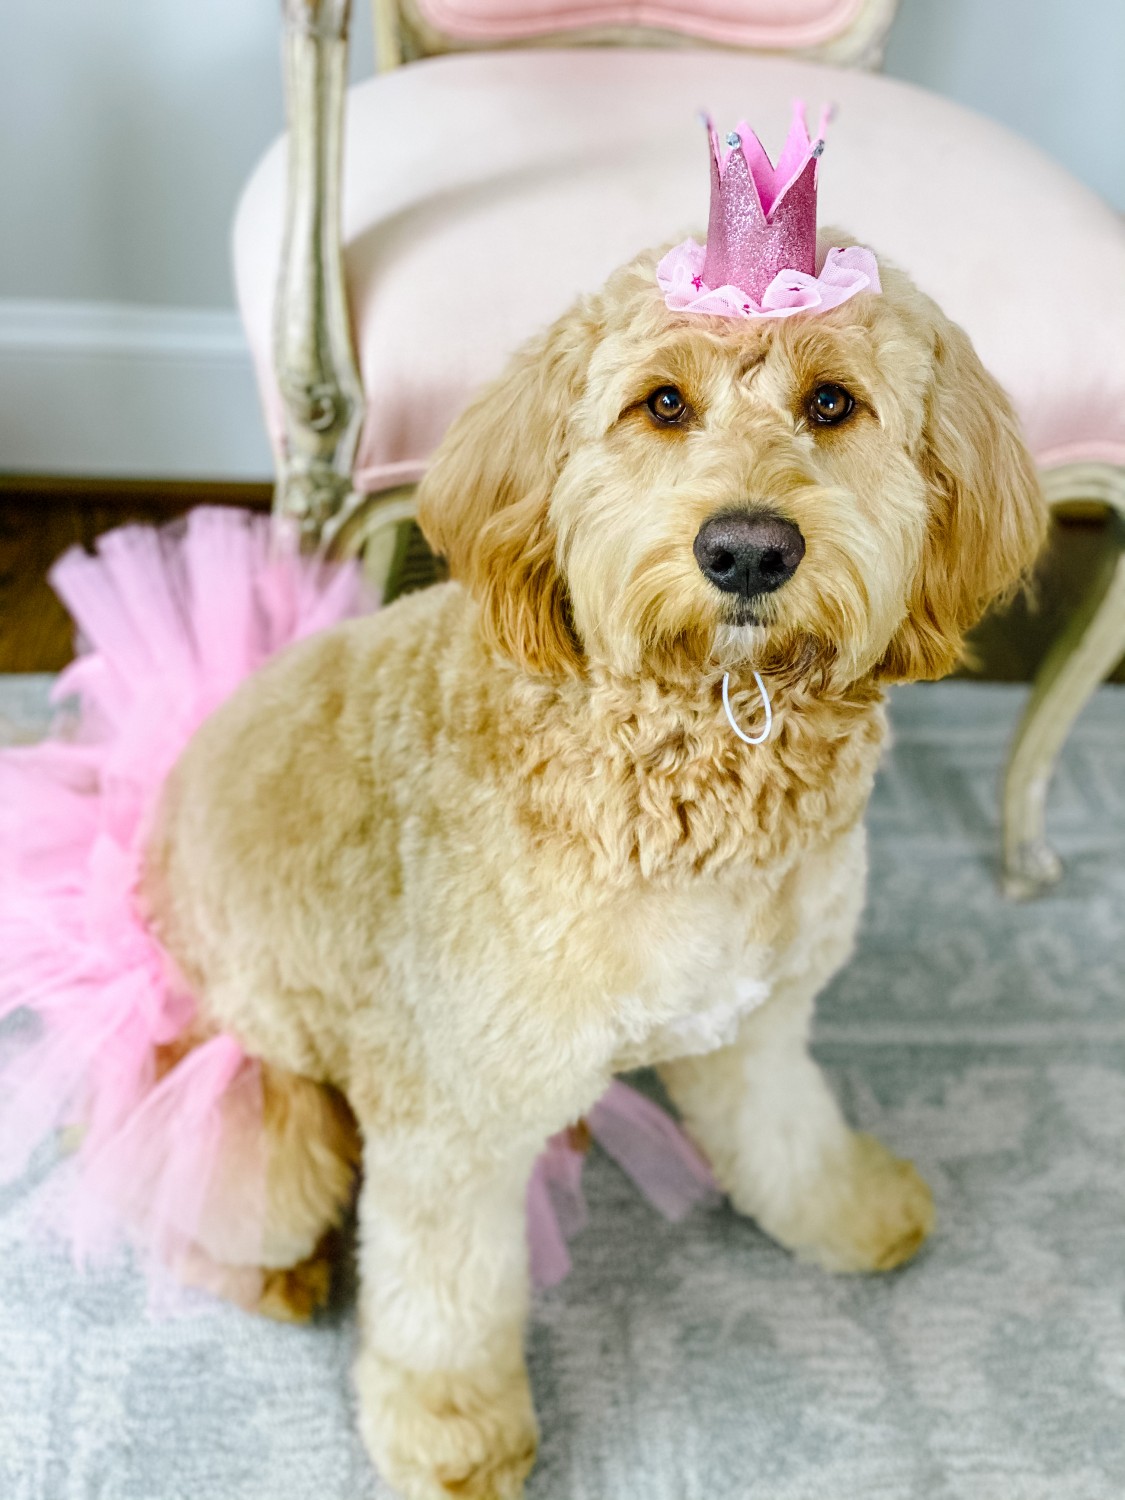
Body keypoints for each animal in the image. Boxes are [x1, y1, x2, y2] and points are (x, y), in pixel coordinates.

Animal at [141, 234, 1050, 1500]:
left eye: (832, 403)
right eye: (662, 404)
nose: (748, 549)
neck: (688, 757)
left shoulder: (758, 1025)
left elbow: (790, 1135)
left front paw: (851, 1212)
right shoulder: (455, 1117)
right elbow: (447, 1298)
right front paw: (455, 1430)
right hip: (267, 1118)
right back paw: (279, 1274)